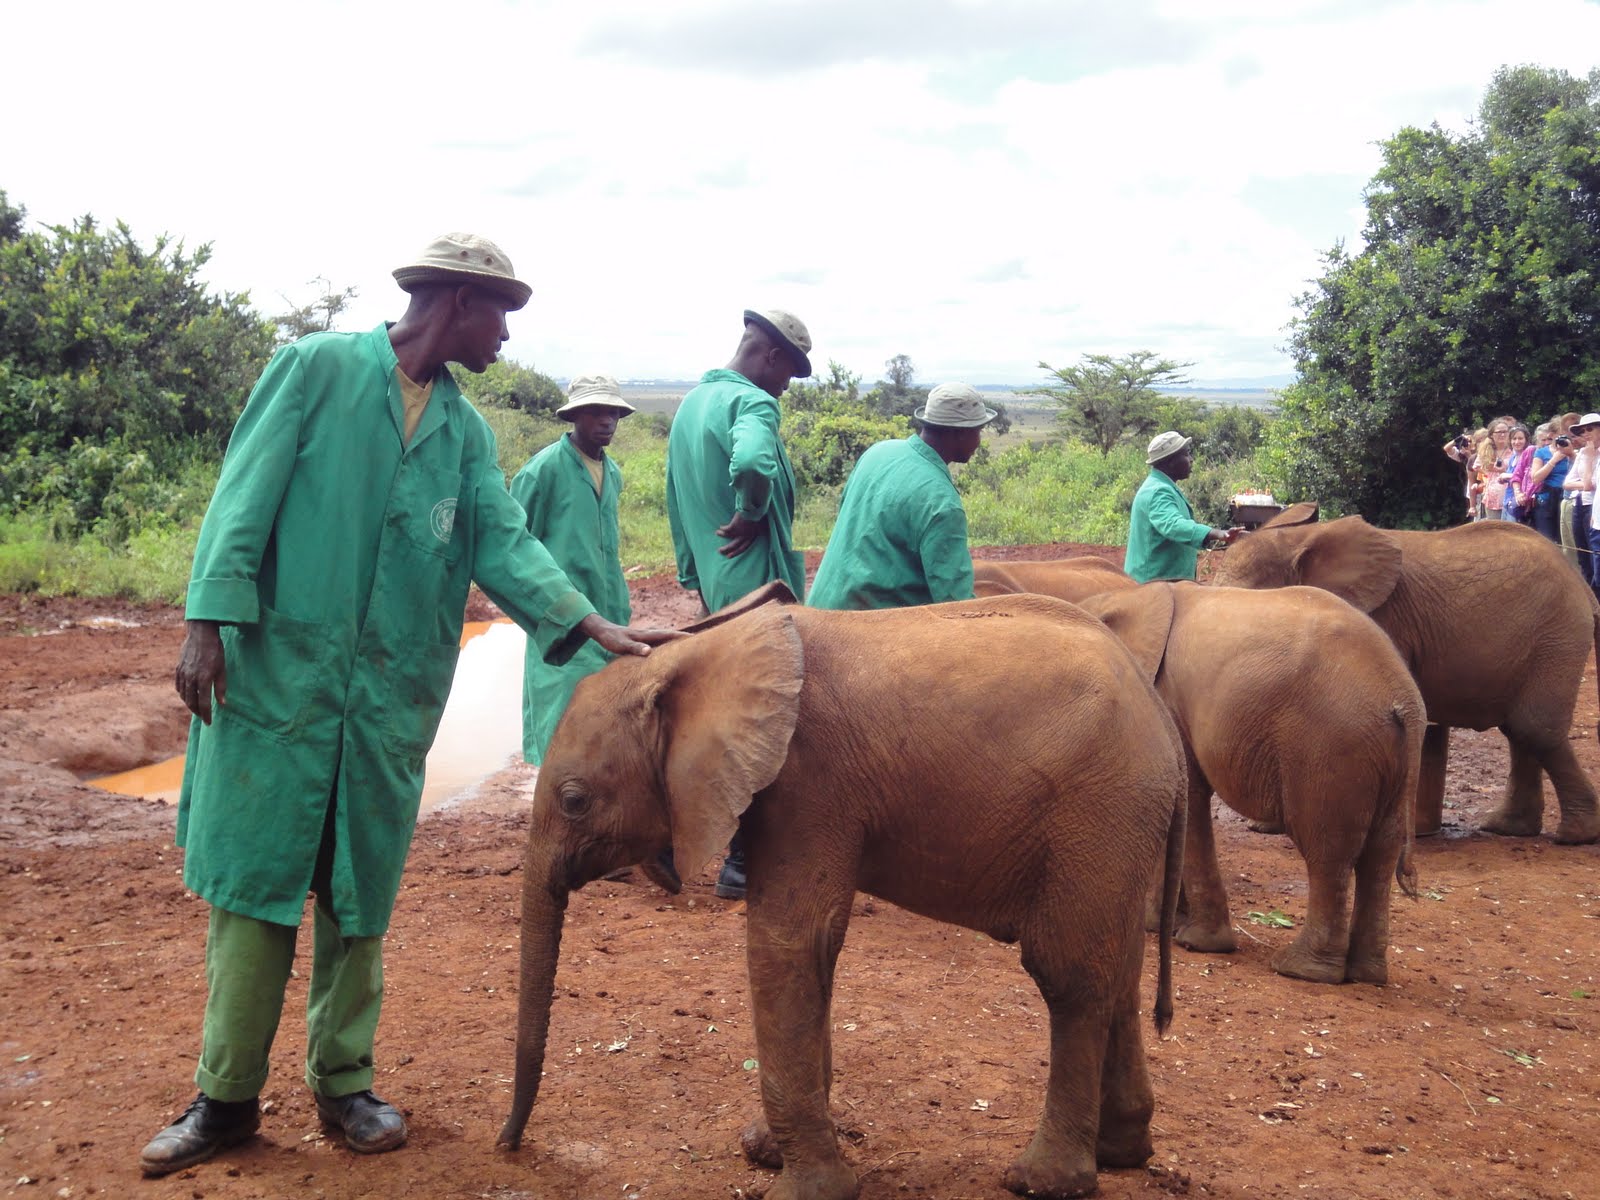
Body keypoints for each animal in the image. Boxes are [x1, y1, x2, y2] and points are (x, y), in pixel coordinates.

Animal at [497, 590, 1188, 1200]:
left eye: (575, 801)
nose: (508, 1146)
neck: (705, 652)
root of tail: (1165, 724)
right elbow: (813, 953)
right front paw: (763, 1152)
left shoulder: (809, 781)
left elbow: (791, 942)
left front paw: (802, 1188)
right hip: (1117, 827)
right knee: (1117, 968)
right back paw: (1122, 1152)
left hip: (1099, 810)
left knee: (1067, 974)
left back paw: (1045, 1181)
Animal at [1076, 582, 1425, 984]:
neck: (1127, 595)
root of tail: (1404, 700)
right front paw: (1163, 925)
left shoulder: (1167, 704)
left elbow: (1189, 797)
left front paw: (1196, 941)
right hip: (1386, 755)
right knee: (1380, 853)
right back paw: (1367, 974)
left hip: (1329, 747)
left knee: (1328, 851)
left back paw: (1300, 969)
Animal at [1216, 507, 1600, 845]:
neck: (1299, 539)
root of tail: (1583, 586)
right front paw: (1266, 827)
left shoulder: (1383, 620)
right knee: (1518, 730)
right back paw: (1508, 829)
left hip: (1558, 634)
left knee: (1534, 728)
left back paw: (1574, 837)